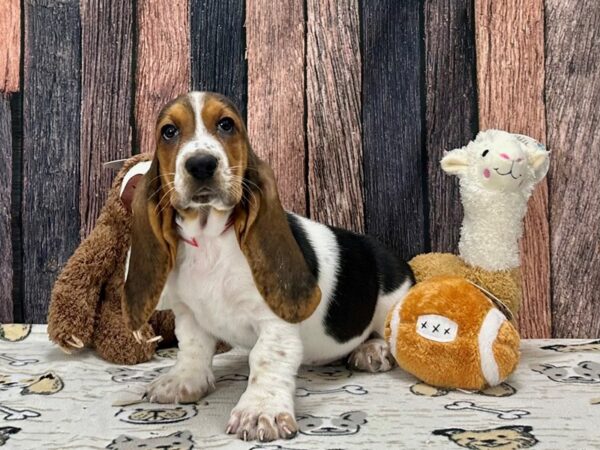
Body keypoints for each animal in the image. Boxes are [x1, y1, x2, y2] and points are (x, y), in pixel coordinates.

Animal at [124, 92, 414, 442]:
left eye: (226, 124)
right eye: (169, 131)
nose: (201, 164)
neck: (210, 241)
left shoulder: (275, 323)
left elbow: (265, 358)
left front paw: (260, 412)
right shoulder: (190, 315)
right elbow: (193, 348)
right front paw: (182, 381)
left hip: (392, 302)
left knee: (385, 331)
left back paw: (372, 351)